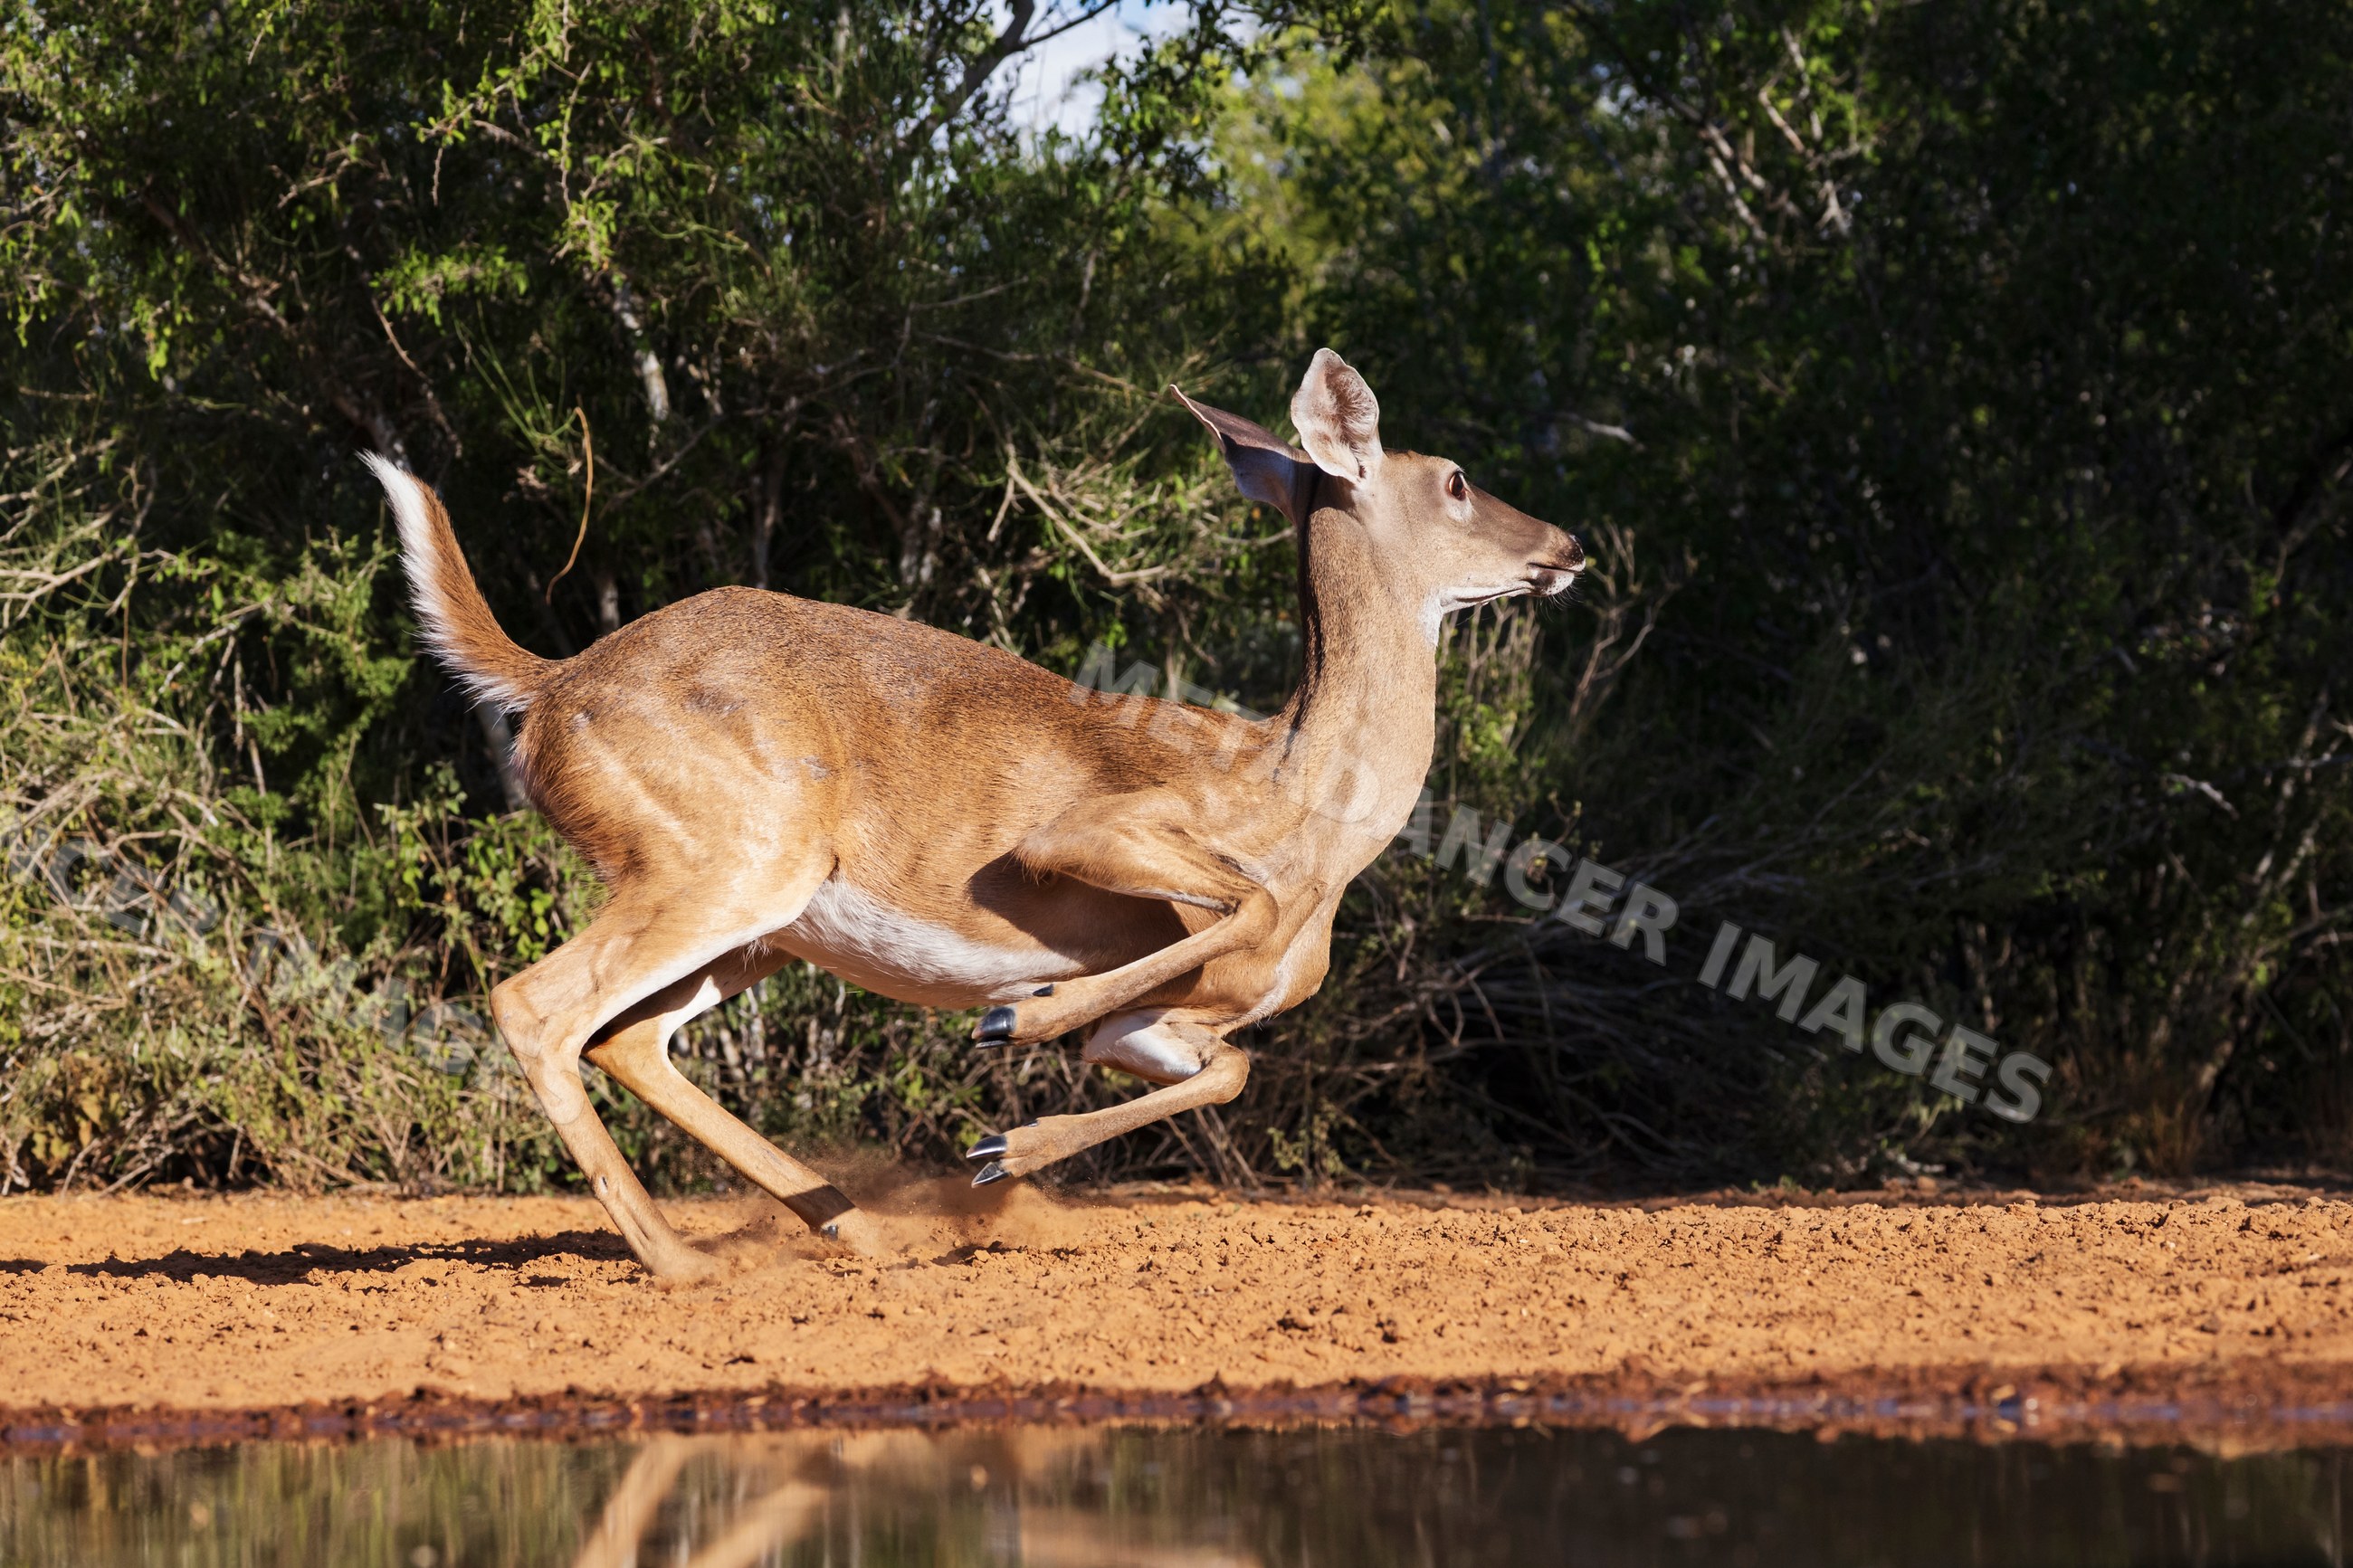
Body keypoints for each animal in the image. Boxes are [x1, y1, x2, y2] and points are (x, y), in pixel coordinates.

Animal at [365, 349, 1581, 1278]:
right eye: (1456, 479)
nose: (1567, 545)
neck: (1305, 807)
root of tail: (550, 685)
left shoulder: (1169, 1024)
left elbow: (1231, 1065)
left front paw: (1007, 1143)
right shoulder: (1083, 835)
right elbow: (1233, 903)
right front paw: (1018, 1022)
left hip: (762, 916)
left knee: (627, 1035)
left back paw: (854, 1228)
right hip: (734, 858)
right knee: (535, 1003)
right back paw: (686, 1260)